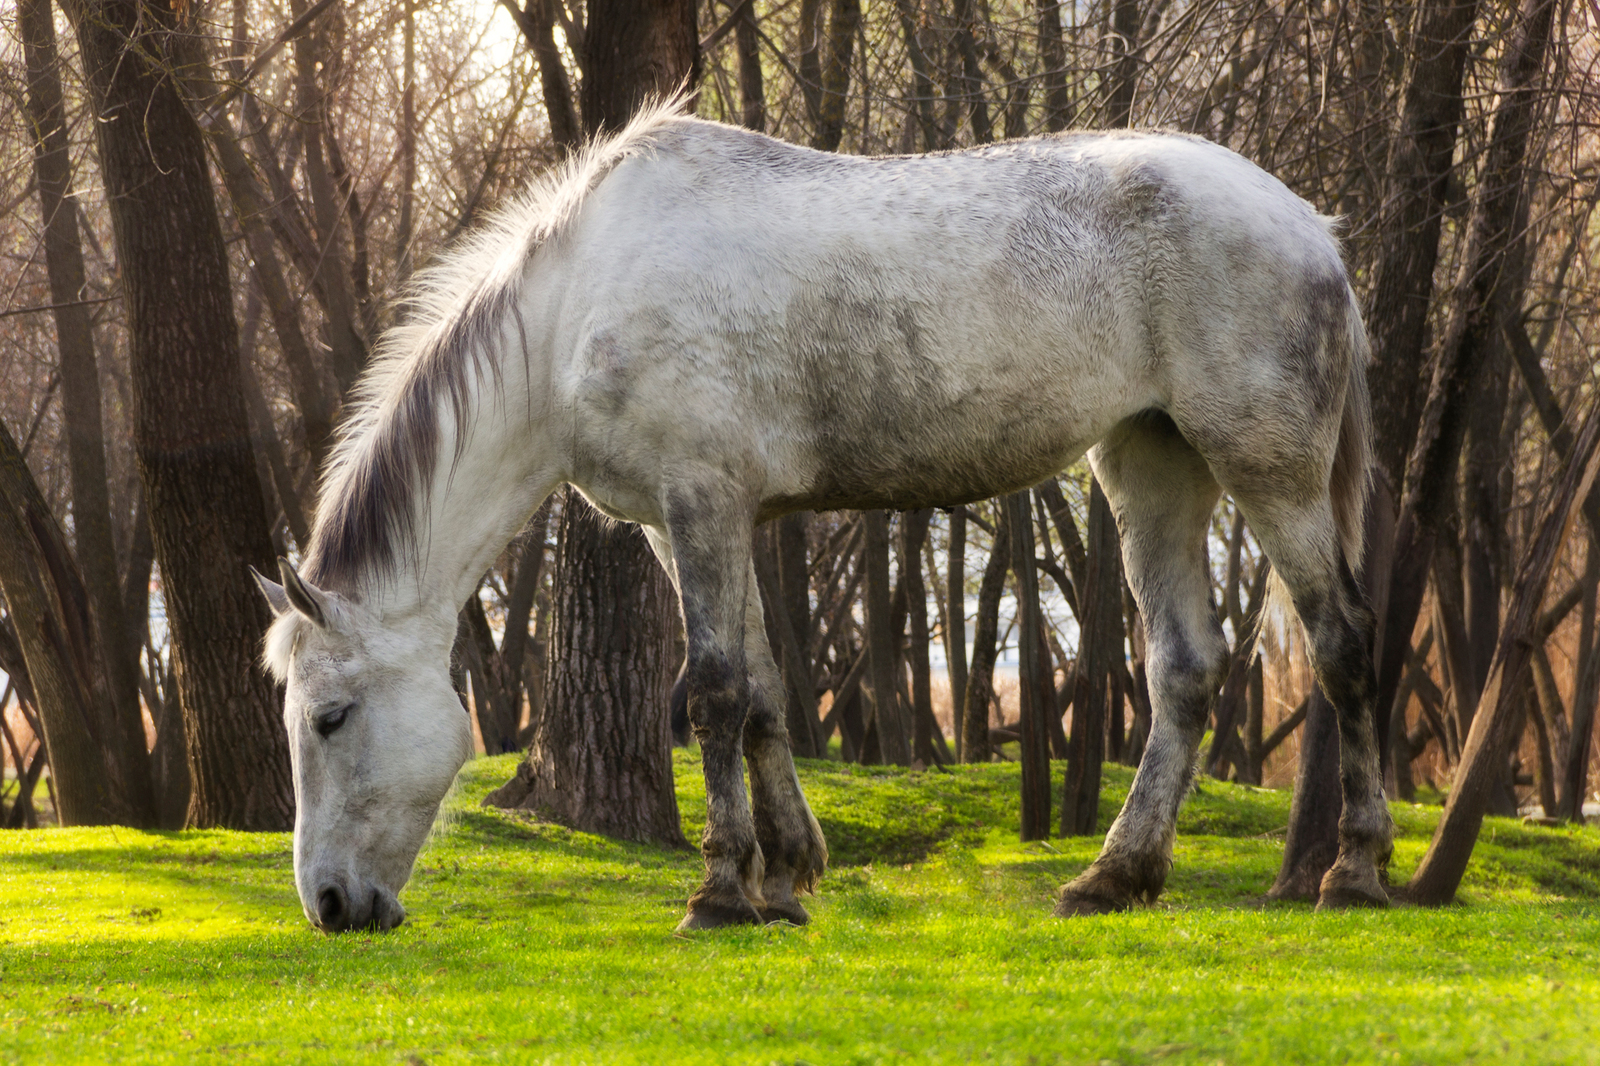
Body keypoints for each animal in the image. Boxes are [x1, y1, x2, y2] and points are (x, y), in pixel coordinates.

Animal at [252, 99, 1388, 928]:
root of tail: (1311, 225)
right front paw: (785, 876)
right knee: (1186, 670)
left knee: (1342, 644)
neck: (581, 302)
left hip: (1268, 469)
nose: (330, 905)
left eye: (330, 717)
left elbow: (711, 693)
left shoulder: (704, 501)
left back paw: (1355, 872)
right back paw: (1114, 877)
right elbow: (759, 691)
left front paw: (719, 894)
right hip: (1151, 462)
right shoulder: (688, 521)